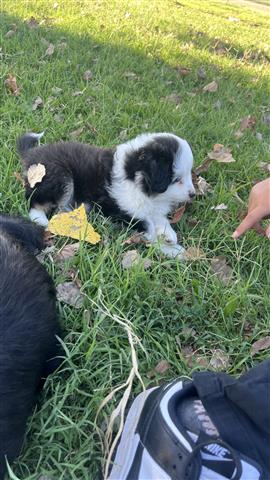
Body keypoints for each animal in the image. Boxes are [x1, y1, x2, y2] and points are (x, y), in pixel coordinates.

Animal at [17, 131, 195, 258]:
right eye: (177, 180)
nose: (193, 194)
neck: (134, 176)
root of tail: (33, 154)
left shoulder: (149, 207)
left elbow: (157, 217)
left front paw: (168, 235)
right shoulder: (117, 211)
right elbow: (147, 226)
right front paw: (174, 250)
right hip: (58, 175)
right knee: (34, 202)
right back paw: (43, 220)